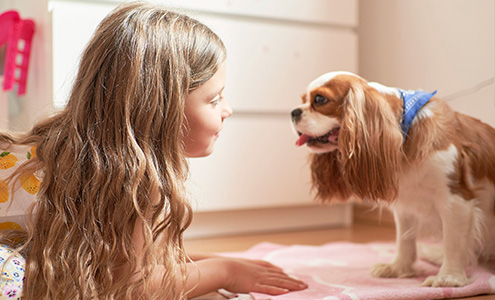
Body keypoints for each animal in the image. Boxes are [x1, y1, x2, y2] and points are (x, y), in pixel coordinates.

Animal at [290, 71, 495, 288]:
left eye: (320, 99)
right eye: (303, 100)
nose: (293, 112)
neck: (404, 134)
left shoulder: (456, 199)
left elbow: (453, 243)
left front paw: (449, 277)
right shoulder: (406, 204)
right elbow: (404, 240)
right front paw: (399, 269)